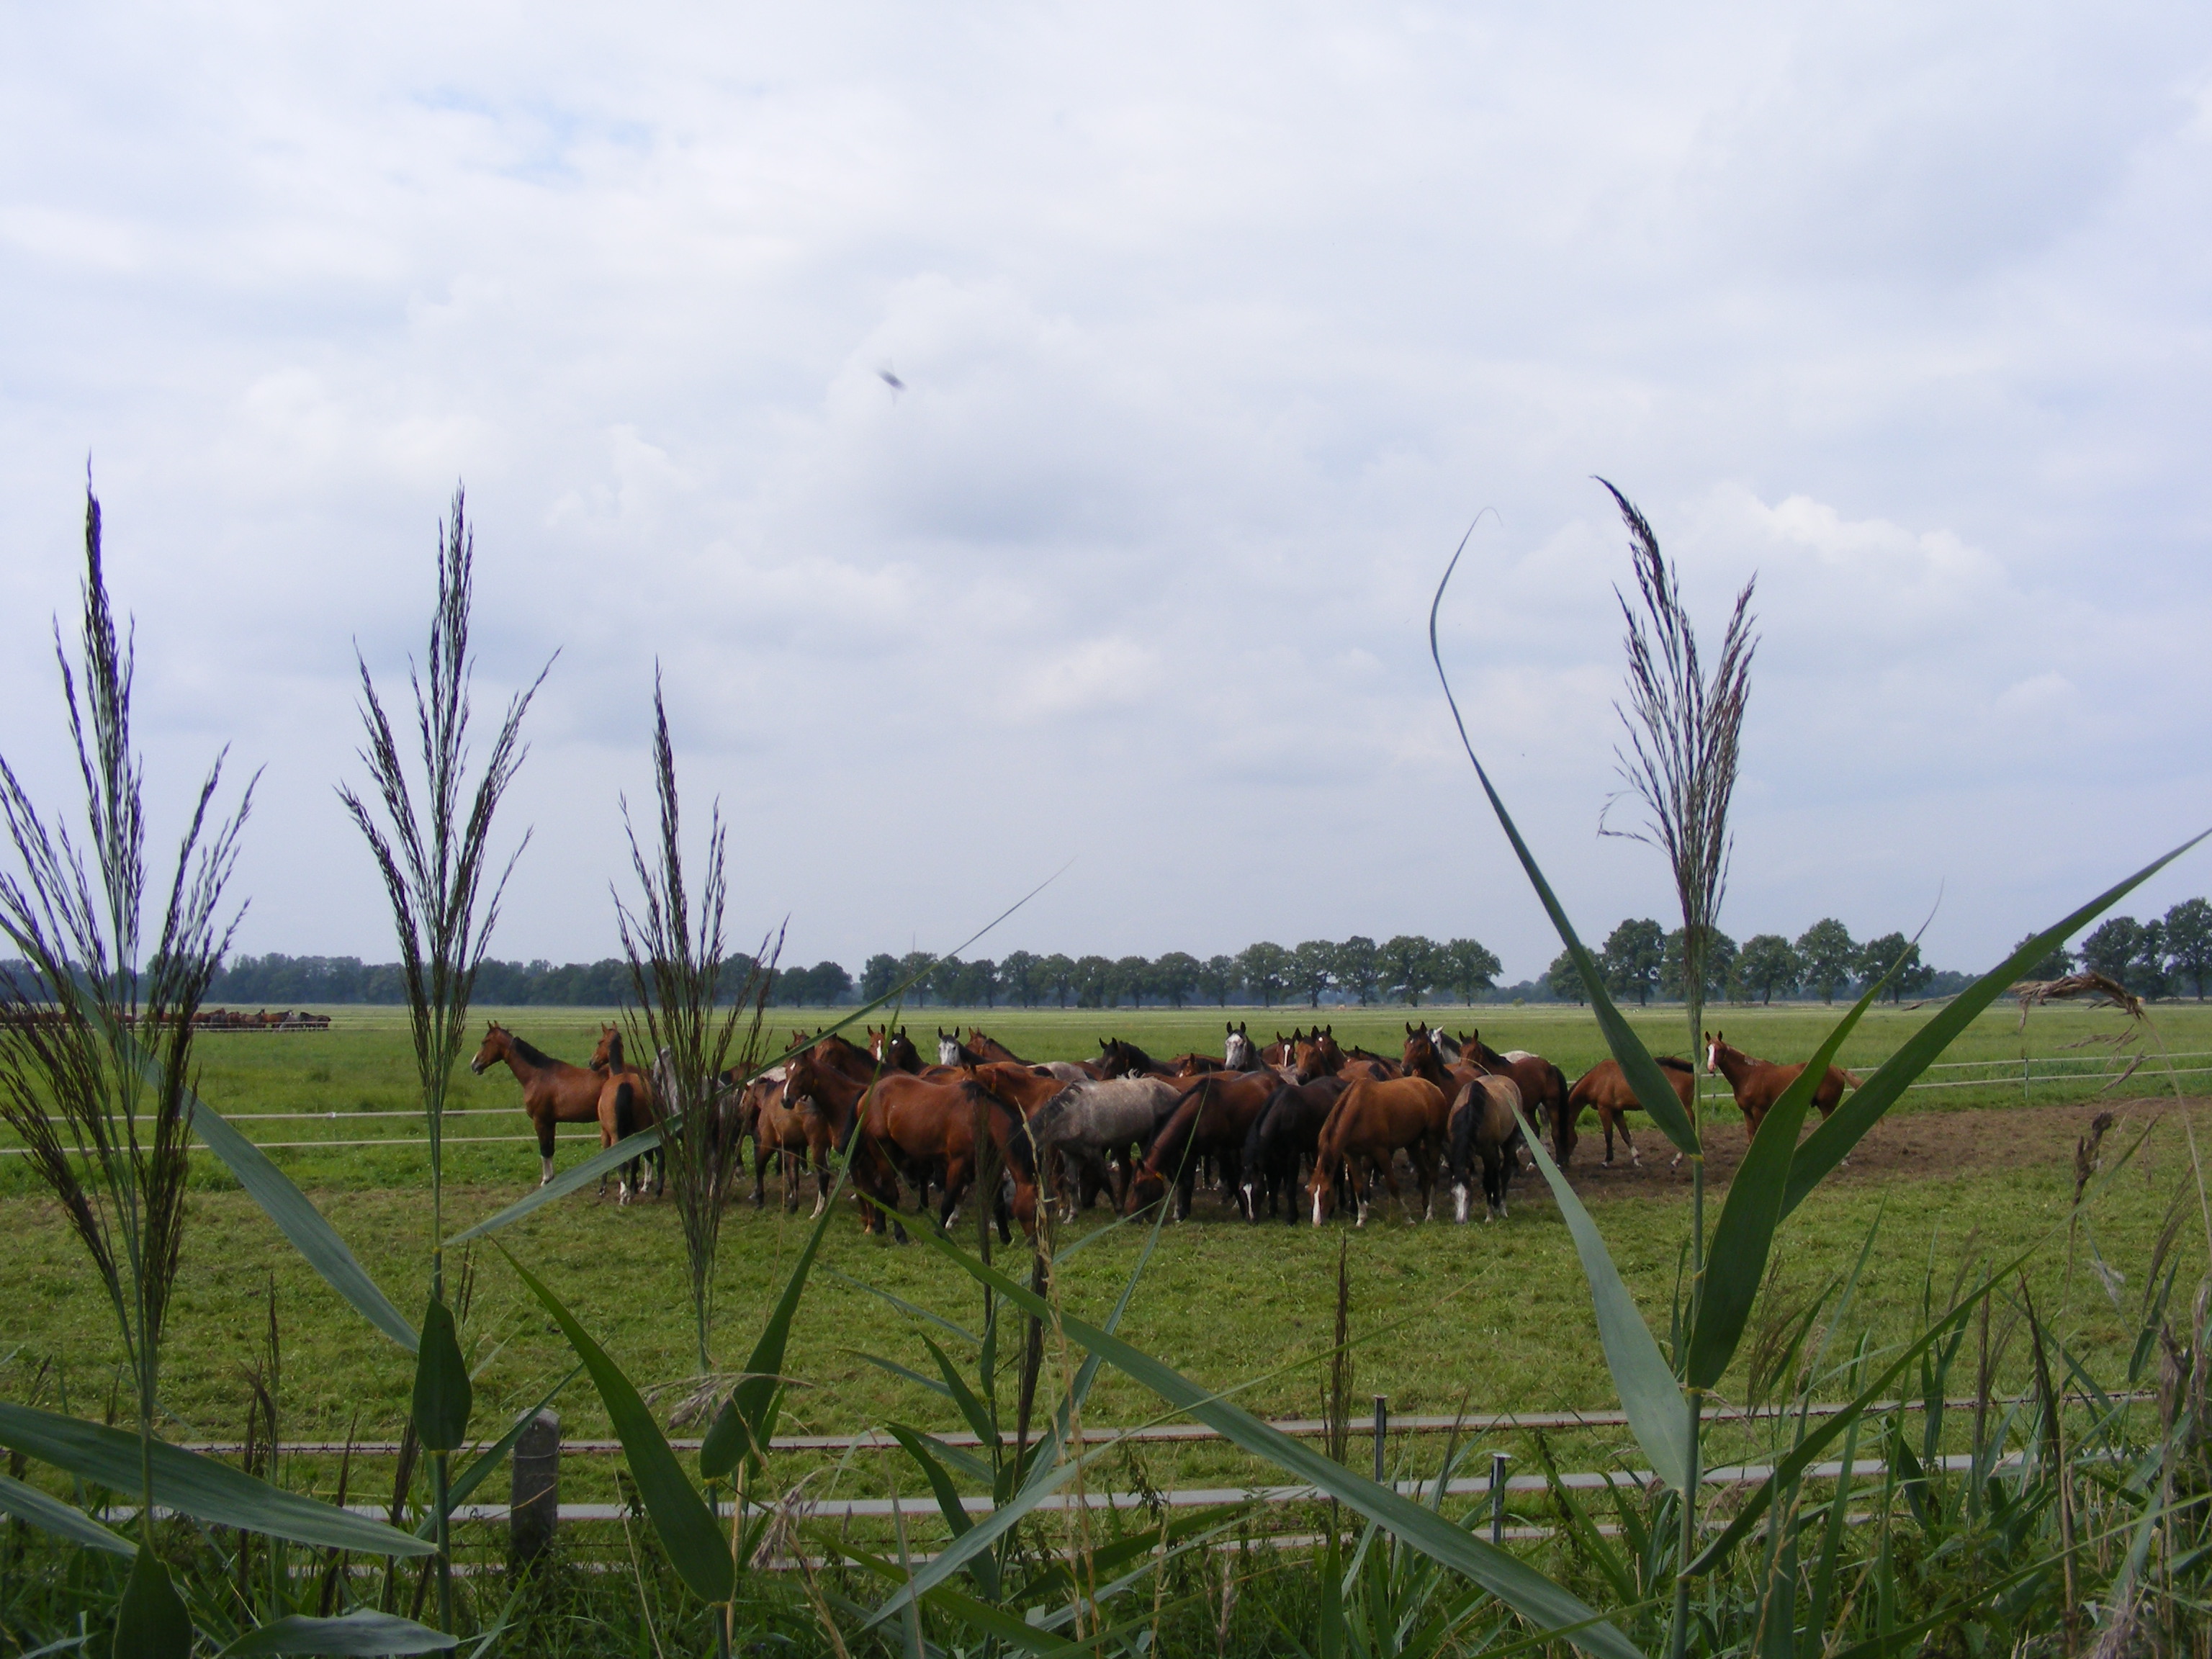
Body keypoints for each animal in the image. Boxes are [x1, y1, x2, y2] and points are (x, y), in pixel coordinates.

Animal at [470, 1023, 607, 1187]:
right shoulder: (550, 1122)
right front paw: (551, 1178)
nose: (474, 1065)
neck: (538, 1075)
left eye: (485, 1042)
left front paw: (545, 1180)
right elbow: (550, 1149)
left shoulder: (540, 1121)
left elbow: (544, 1150)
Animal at [1306, 1076, 1450, 1226]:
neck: (1359, 1110)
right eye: (1309, 1192)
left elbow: (1393, 1185)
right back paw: (1424, 1207)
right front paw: (1361, 1219)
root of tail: (1433, 1088)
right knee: (1424, 1173)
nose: (1316, 1223)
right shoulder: (1351, 1155)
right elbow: (1358, 1186)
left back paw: (1430, 1213)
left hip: (1433, 1140)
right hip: (1412, 1144)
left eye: (1327, 1192)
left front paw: (1407, 1218)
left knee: (1433, 1176)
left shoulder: (1381, 1152)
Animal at [1445, 1076, 1523, 1223]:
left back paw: (1502, 1209)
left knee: (1504, 1173)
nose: (1460, 1221)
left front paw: (1489, 1216)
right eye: (1453, 1193)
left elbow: (1487, 1182)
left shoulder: (1487, 1153)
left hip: (1509, 1140)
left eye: (1469, 1192)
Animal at [1564, 1057, 1695, 1166]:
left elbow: (1608, 1135)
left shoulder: (1604, 1109)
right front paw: (1636, 1159)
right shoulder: (1617, 1111)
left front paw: (1607, 1160)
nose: (1563, 1163)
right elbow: (1625, 1134)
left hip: (1684, 1109)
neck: (1598, 1078)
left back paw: (1678, 1159)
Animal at [1704, 1032, 1861, 1141]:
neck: (1748, 1075)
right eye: (1708, 1049)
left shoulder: (1758, 1110)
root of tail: (1838, 1069)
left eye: (1719, 1049)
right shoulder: (1747, 1111)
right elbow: (1751, 1135)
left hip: (1827, 1106)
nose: (1710, 1067)